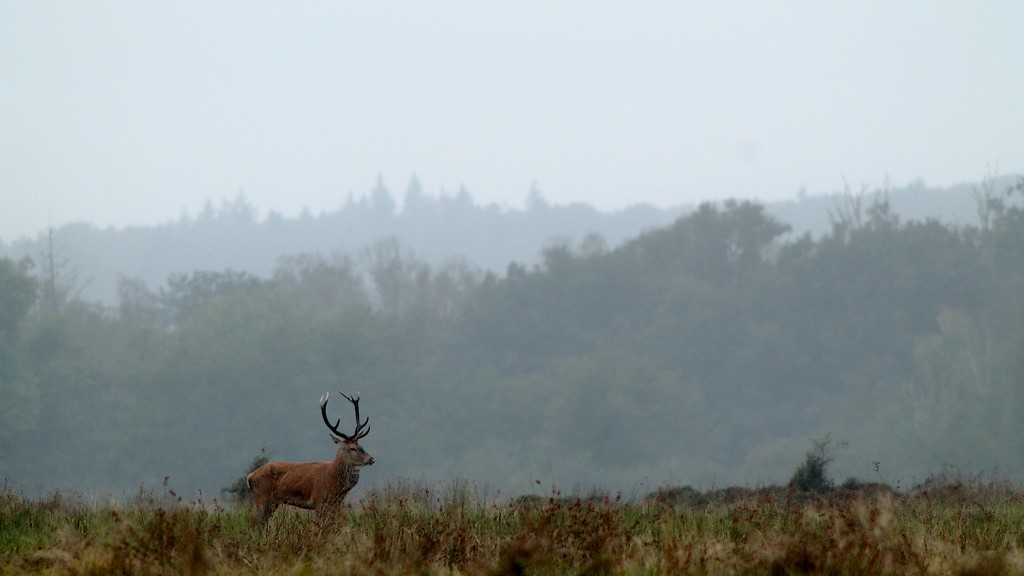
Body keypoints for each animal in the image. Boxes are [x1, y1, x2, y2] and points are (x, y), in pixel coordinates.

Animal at [246, 391, 374, 521]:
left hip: (273, 502)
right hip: (262, 497)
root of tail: (250, 476)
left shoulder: (335, 504)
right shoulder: (318, 500)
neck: (334, 481)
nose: (371, 459)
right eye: (352, 448)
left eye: (361, 446)